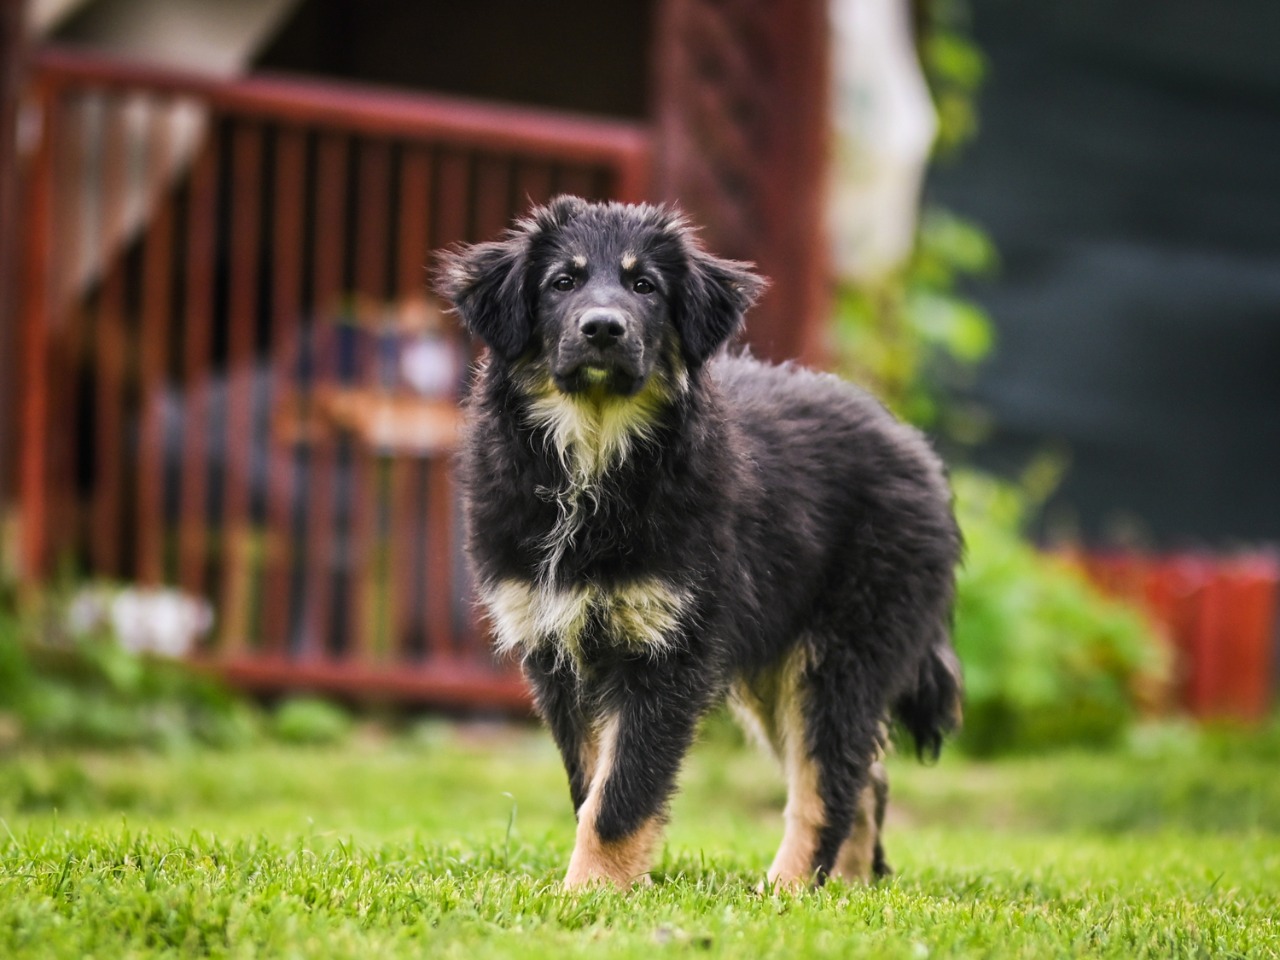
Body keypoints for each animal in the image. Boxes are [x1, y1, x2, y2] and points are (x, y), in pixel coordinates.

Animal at [436, 197, 962, 891]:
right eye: (562, 281)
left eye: (644, 286)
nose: (603, 330)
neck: (595, 456)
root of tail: (919, 450)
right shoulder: (556, 649)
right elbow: (591, 784)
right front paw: (595, 888)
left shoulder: (668, 650)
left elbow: (620, 795)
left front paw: (588, 893)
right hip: (777, 668)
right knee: (863, 777)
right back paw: (845, 889)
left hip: (843, 652)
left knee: (829, 783)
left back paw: (788, 890)